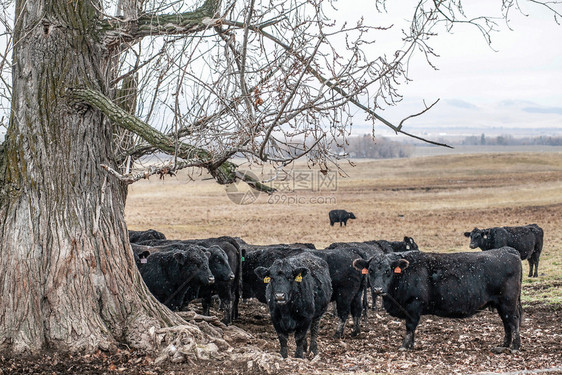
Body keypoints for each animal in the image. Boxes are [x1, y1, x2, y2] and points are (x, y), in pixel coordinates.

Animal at [354, 247, 520, 352]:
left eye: (388, 271)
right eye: (370, 270)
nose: (377, 289)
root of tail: (507, 250)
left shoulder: (414, 305)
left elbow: (410, 326)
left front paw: (405, 346)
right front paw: (411, 345)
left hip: (508, 302)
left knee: (513, 322)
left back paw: (515, 347)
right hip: (501, 305)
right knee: (506, 323)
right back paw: (504, 345)